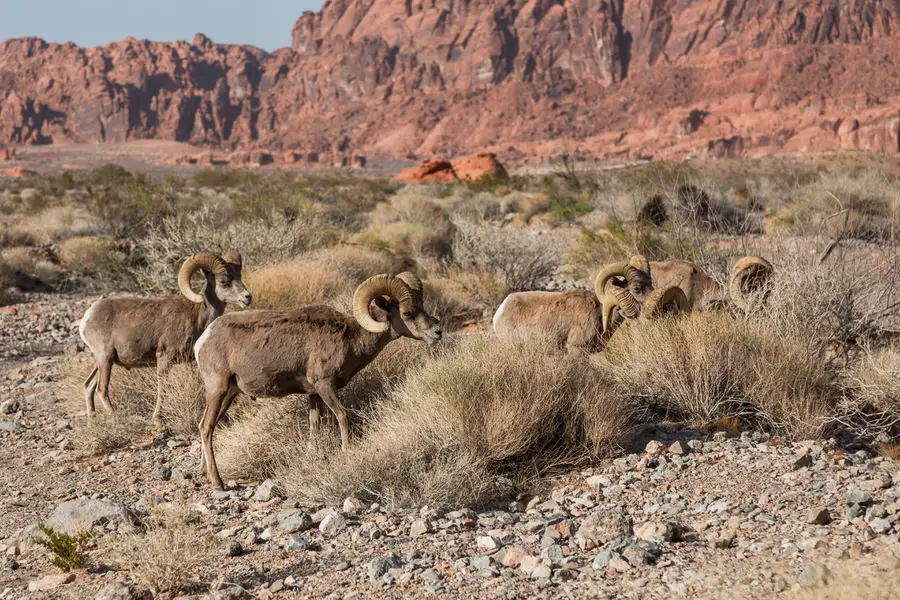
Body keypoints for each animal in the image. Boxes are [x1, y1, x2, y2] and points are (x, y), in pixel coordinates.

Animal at [78, 251, 250, 424]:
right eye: (224, 282)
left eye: (239, 277)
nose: (248, 297)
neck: (197, 316)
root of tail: (87, 317)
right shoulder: (164, 358)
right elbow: (163, 388)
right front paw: (157, 419)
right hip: (105, 358)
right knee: (101, 389)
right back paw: (116, 418)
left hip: (103, 361)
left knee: (88, 386)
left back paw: (92, 421)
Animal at [195, 272, 442, 488]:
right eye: (407, 313)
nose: (437, 332)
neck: (350, 338)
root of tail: (203, 340)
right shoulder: (325, 386)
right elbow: (342, 416)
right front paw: (346, 452)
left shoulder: (313, 394)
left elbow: (315, 426)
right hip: (217, 390)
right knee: (206, 427)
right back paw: (217, 482)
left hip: (228, 395)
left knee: (208, 427)